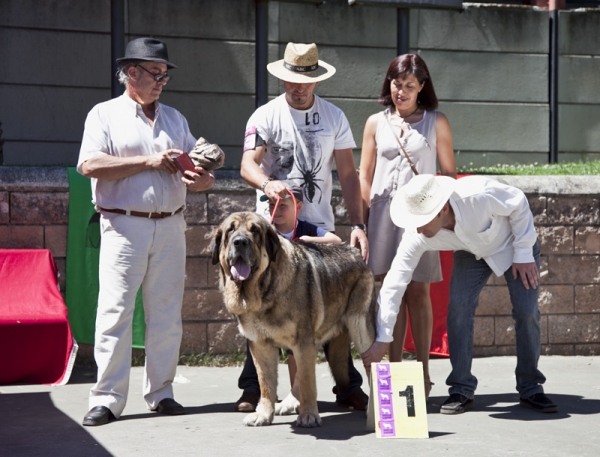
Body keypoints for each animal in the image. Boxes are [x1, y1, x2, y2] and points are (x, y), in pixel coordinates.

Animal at [210, 212, 376, 426]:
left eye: (255, 231)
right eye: (230, 230)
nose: (240, 242)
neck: (263, 290)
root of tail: (355, 251)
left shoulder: (303, 342)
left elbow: (307, 381)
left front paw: (308, 415)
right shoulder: (261, 346)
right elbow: (266, 384)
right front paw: (264, 414)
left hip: (360, 330)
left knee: (373, 364)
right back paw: (288, 403)